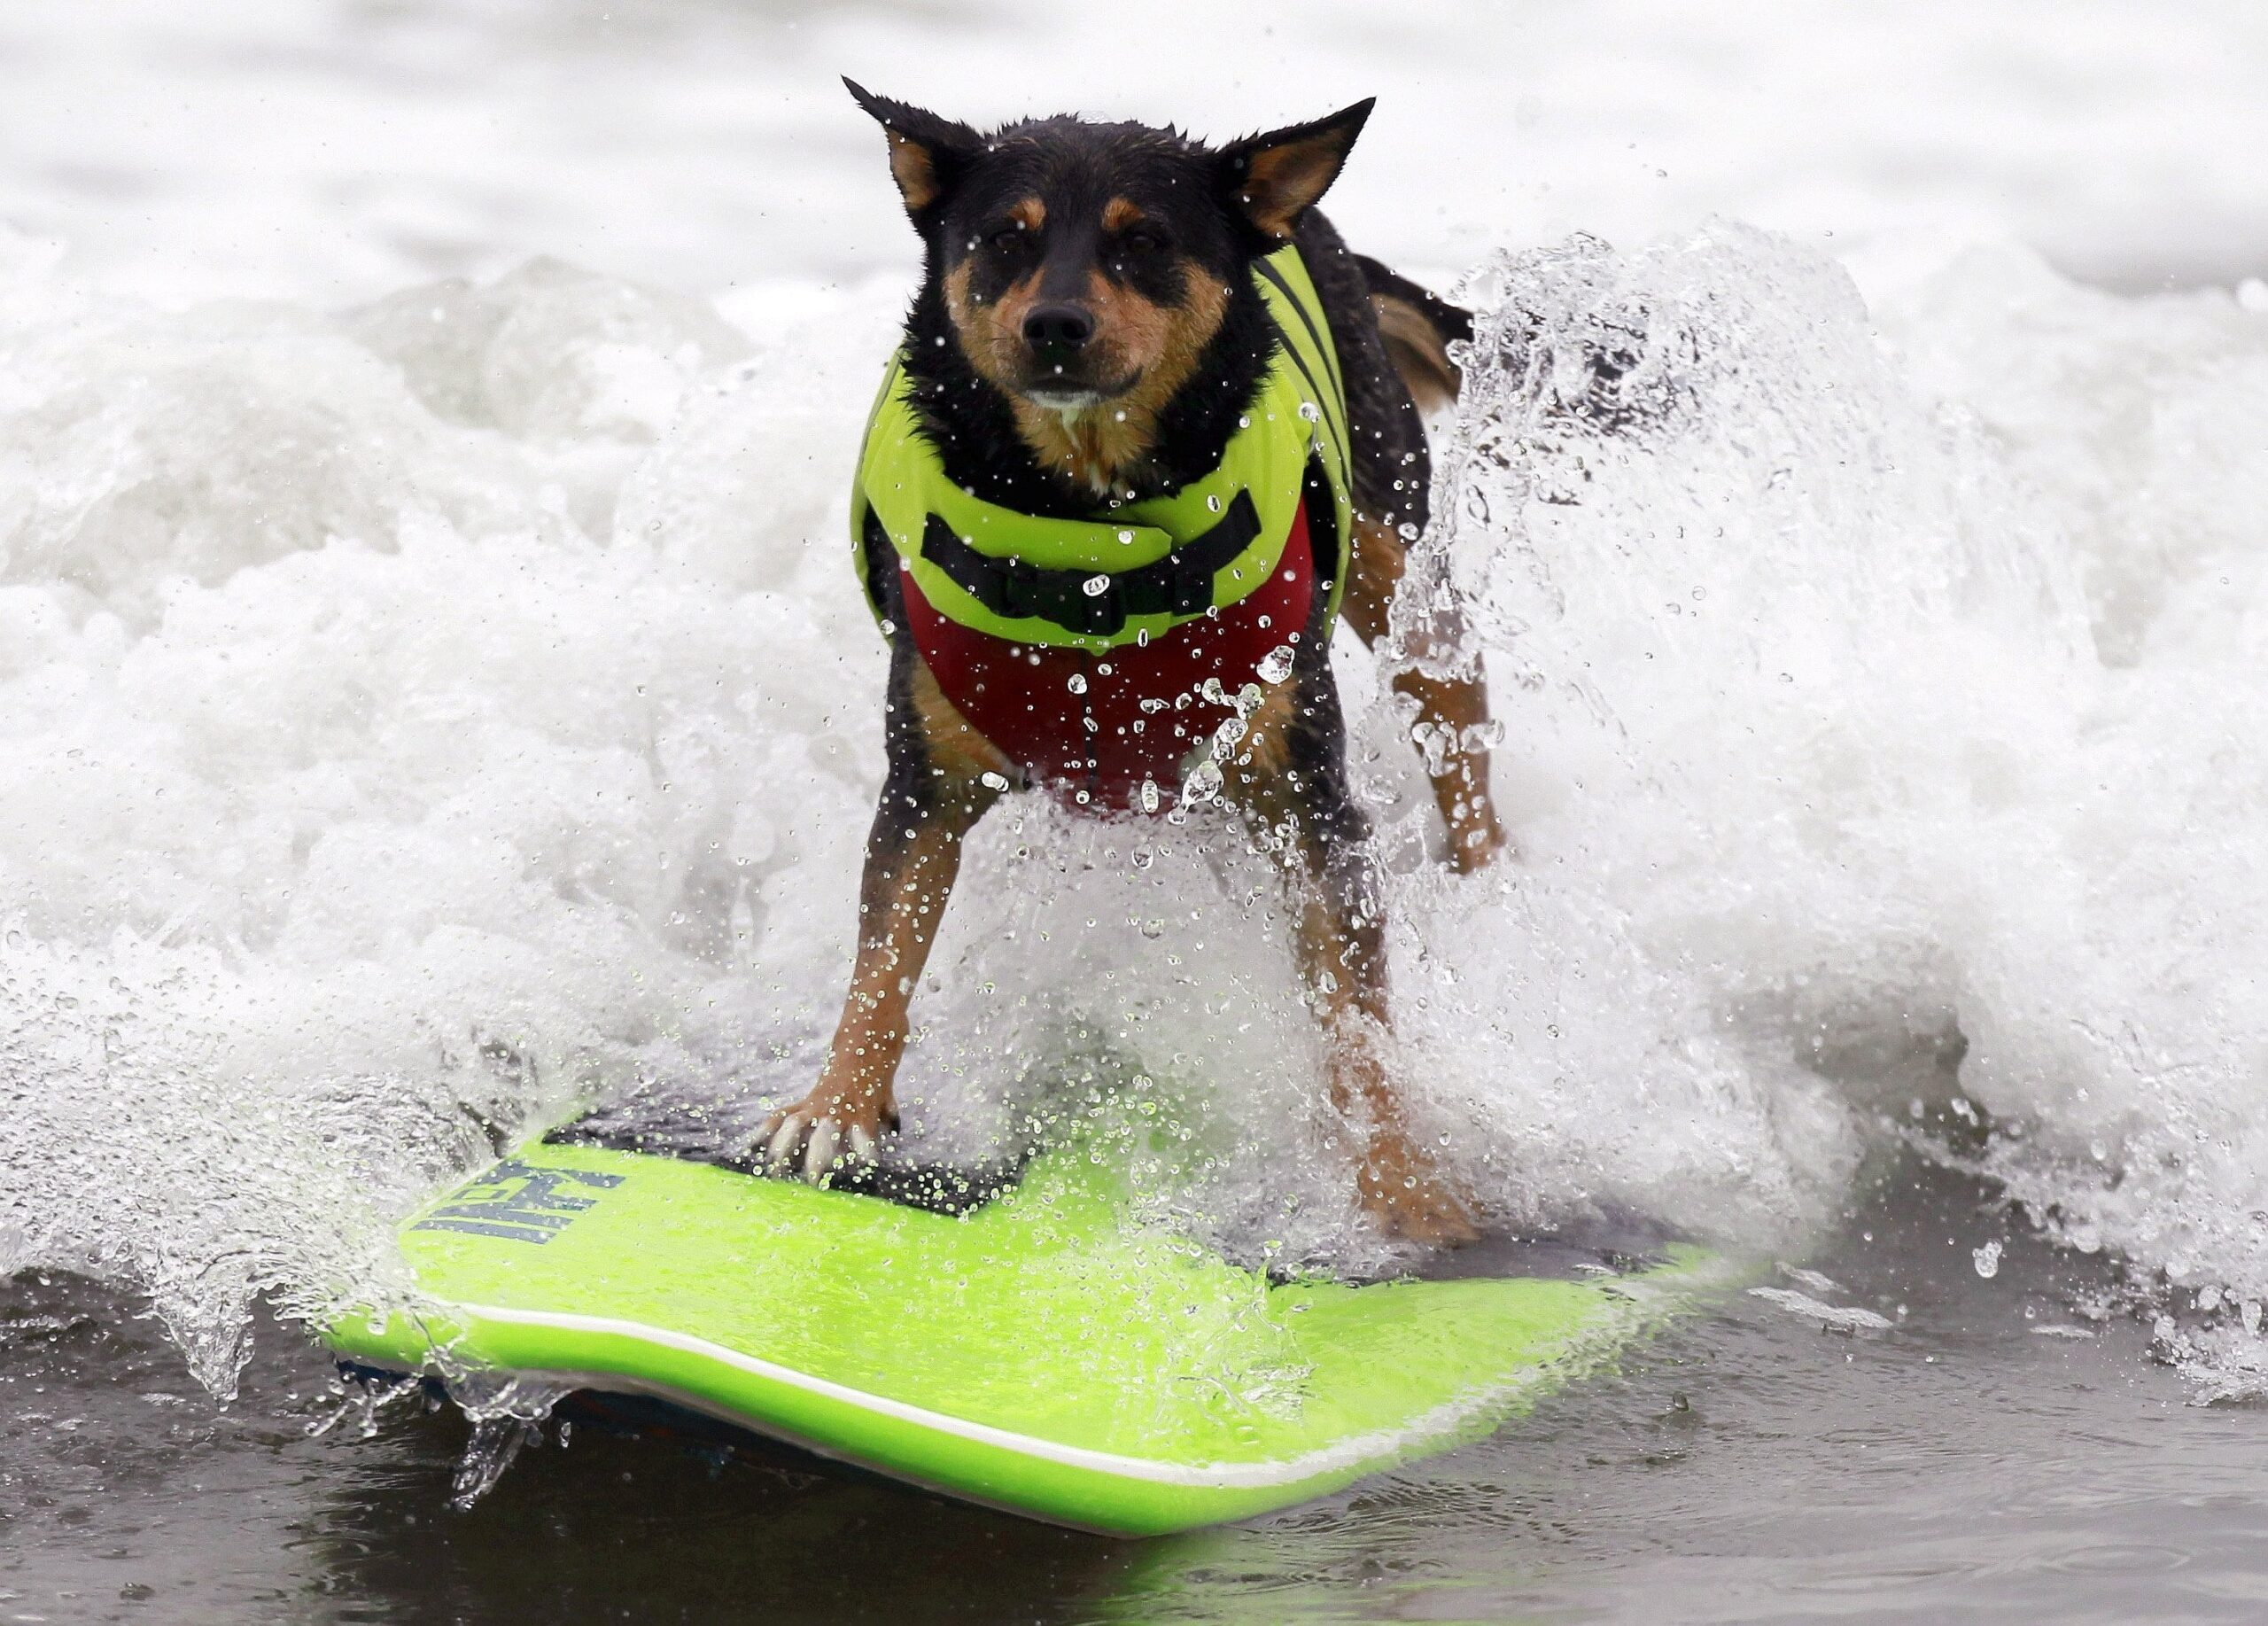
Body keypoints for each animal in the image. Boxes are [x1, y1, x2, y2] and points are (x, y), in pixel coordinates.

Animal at [757, 82, 1505, 1233]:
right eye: (1004, 237)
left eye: (1144, 240)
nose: (1055, 323)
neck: (1091, 533)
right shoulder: (926, 771)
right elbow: (886, 946)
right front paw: (837, 1100)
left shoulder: (1303, 783)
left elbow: (1353, 1011)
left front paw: (1399, 1179)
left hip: (1393, 534)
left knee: (1452, 708)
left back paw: (1489, 879)